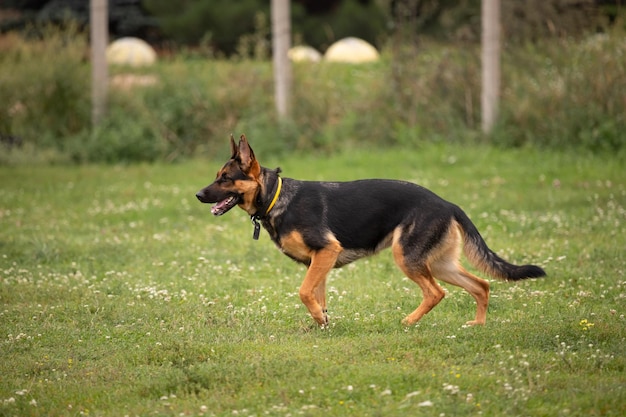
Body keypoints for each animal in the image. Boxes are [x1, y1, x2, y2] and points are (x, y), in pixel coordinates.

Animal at [195, 135, 540, 326]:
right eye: (217, 175)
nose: (198, 195)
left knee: (436, 293)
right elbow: (317, 296)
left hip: (408, 257)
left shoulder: (326, 253)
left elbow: (304, 292)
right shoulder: (318, 263)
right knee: (481, 285)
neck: (276, 196)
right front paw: (322, 323)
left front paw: (319, 319)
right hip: (439, 263)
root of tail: (447, 203)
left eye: (225, 178)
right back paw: (478, 325)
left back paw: (408, 322)